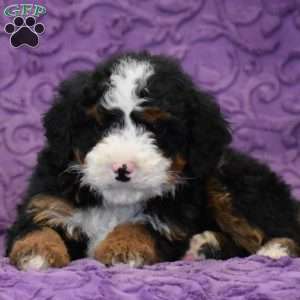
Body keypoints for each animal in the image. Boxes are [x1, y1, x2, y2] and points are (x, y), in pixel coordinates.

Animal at [5, 52, 300, 272]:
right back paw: (205, 246)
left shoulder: (171, 221)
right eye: (101, 126)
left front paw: (123, 249)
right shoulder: (47, 203)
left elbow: (139, 226)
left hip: (229, 182)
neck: (116, 202)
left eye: (157, 129)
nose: (122, 167)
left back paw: (273, 251)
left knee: (283, 229)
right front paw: (37, 253)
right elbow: (36, 228)